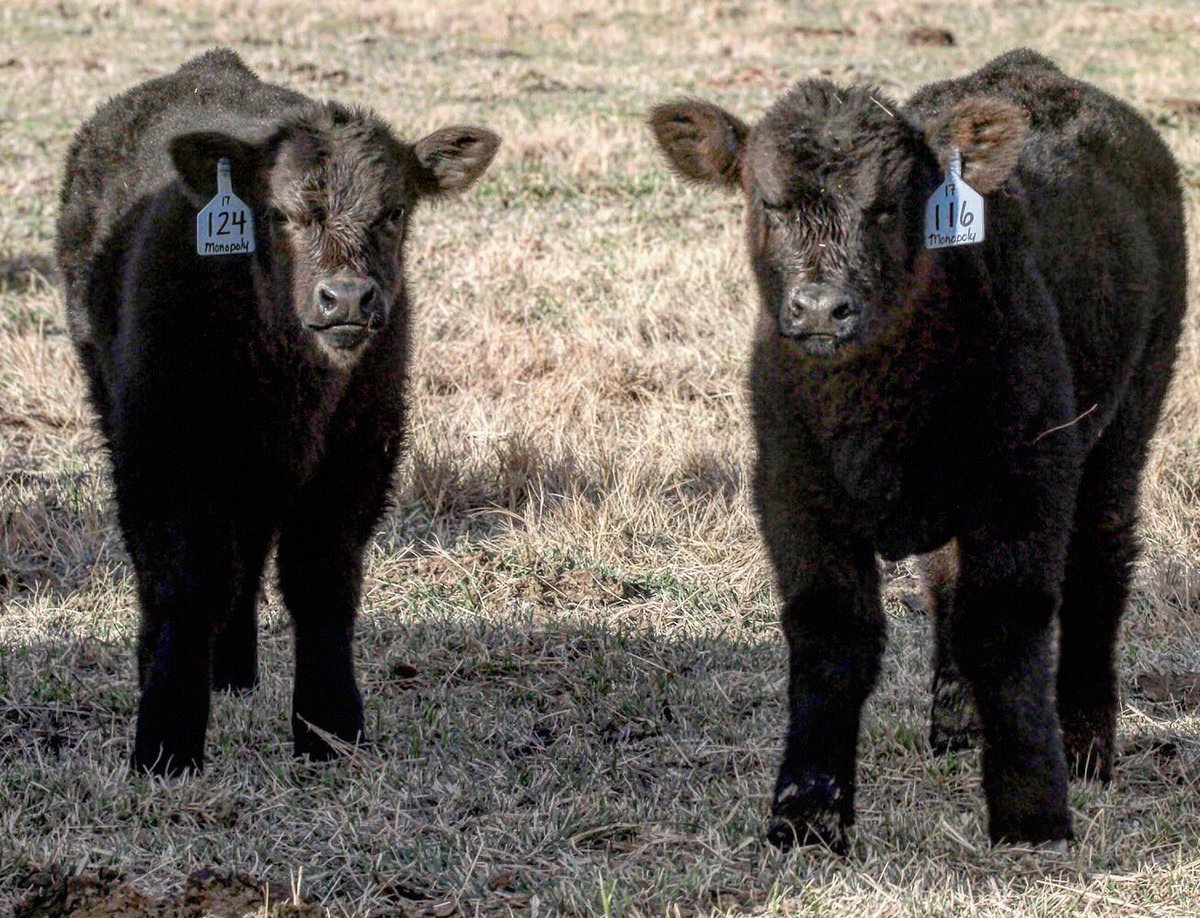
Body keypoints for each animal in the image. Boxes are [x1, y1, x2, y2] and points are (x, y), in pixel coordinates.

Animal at [57, 48, 500, 776]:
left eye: (393, 213)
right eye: (283, 214)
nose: (346, 299)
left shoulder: (359, 452)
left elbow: (321, 581)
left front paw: (330, 731)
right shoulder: (163, 445)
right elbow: (184, 578)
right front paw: (166, 743)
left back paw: (233, 671)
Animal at [649, 49, 1186, 850]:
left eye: (885, 206)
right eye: (768, 203)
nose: (820, 308)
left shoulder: (1028, 478)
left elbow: (1007, 625)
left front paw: (1032, 807)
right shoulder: (792, 488)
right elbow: (833, 637)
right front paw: (807, 813)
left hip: (1130, 410)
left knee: (1101, 559)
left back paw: (1088, 745)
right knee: (949, 580)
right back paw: (956, 722)